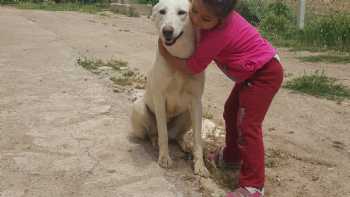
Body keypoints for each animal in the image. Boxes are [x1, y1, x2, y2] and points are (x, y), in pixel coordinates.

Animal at [131, 0, 208, 177]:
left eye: (182, 12)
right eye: (162, 11)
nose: (167, 31)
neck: (178, 58)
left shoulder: (196, 101)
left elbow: (198, 140)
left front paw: (200, 165)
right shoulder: (160, 98)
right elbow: (163, 134)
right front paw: (164, 158)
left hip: (188, 113)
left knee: (175, 136)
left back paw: (183, 143)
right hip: (138, 108)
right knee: (154, 133)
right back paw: (153, 140)